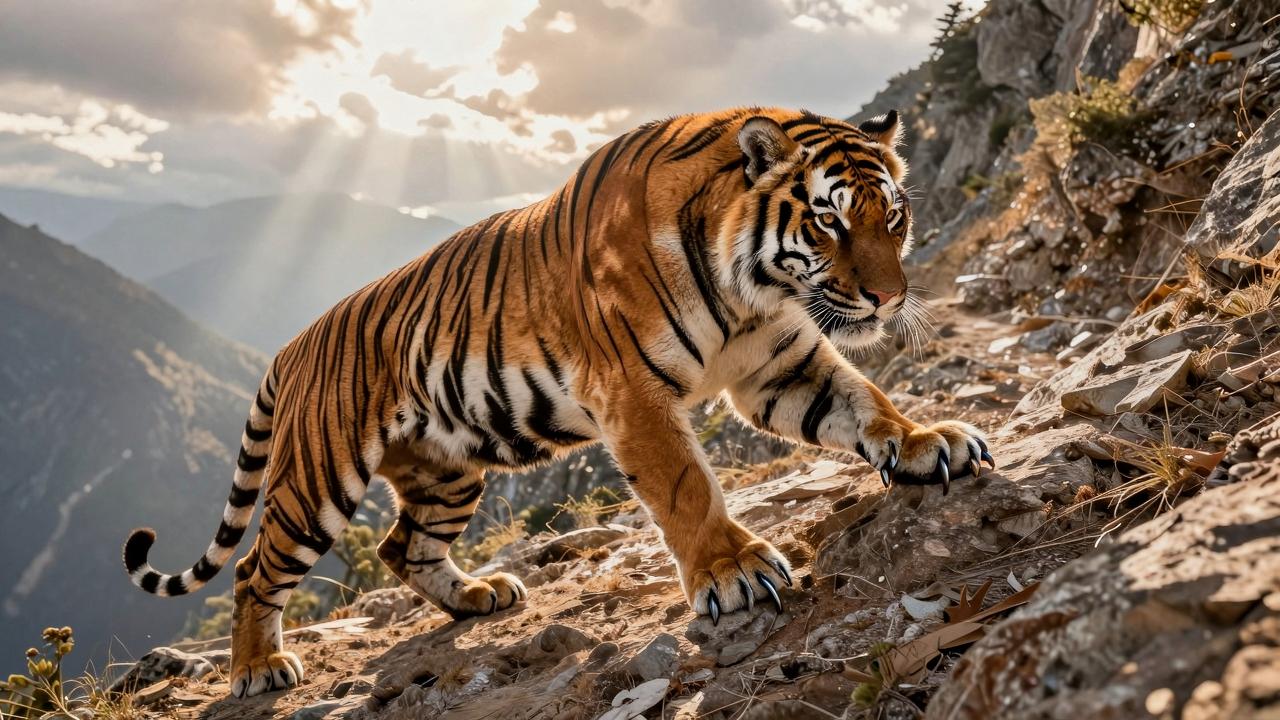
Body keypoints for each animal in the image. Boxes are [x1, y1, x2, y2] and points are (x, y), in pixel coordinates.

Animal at [122, 107, 993, 698]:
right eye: (829, 221)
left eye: (895, 217)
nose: (887, 298)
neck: (754, 288)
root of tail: (292, 344)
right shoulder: (632, 393)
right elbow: (686, 487)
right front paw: (732, 568)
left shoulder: (781, 364)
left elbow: (865, 399)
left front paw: (927, 441)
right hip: (318, 482)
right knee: (254, 571)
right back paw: (259, 668)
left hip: (447, 471)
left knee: (403, 546)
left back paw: (477, 598)